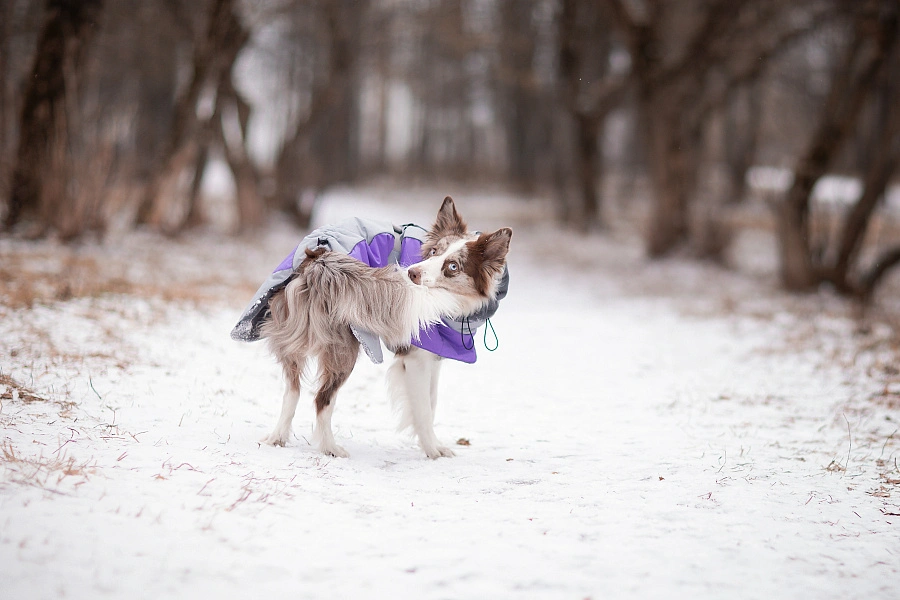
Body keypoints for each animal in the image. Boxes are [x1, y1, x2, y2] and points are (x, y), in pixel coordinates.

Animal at [260, 198, 512, 460]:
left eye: (453, 266)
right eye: (434, 252)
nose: (412, 273)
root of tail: (319, 259)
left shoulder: (433, 357)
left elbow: (431, 401)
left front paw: (435, 446)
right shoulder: (416, 359)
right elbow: (424, 409)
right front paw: (432, 451)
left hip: (294, 336)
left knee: (292, 389)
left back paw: (277, 438)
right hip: (344, 347)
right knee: (322, 399)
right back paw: (329, 447)